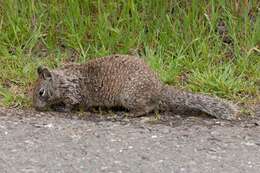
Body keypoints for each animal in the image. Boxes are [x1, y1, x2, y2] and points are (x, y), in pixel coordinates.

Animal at [32, 54, 240, 119]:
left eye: (41, 92)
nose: (35, 107)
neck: (61, 80)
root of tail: (159, 88)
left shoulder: (72, 94)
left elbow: (70, 105)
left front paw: (60, 108)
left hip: (130, 97)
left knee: (146, 109)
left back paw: (128, 114)